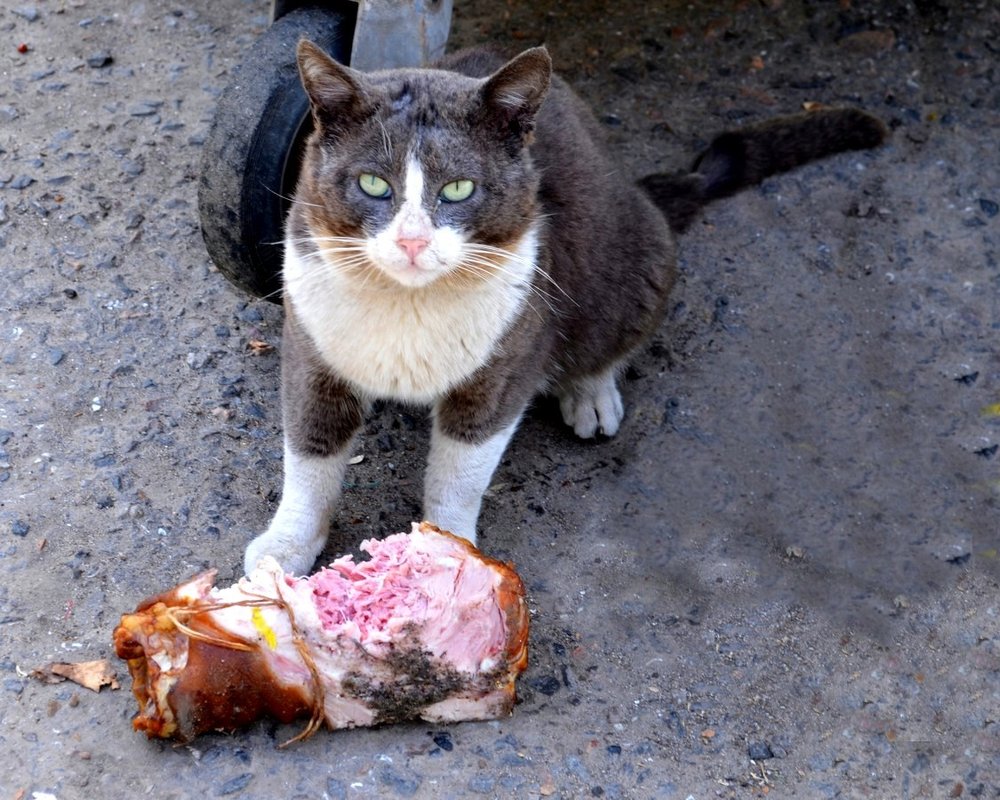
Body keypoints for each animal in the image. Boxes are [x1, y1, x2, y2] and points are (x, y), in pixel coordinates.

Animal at [246, 39, 888, 576]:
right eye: (373, 184)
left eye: (458, 189)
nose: (412, 242)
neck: (408, 304)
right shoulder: (310, 339)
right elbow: (308, 455)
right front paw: (287, 544)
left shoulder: (510, 354)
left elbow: (461, 472)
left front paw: (447, 552)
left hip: (632, 262)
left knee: (613, 335)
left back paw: (591, 395)